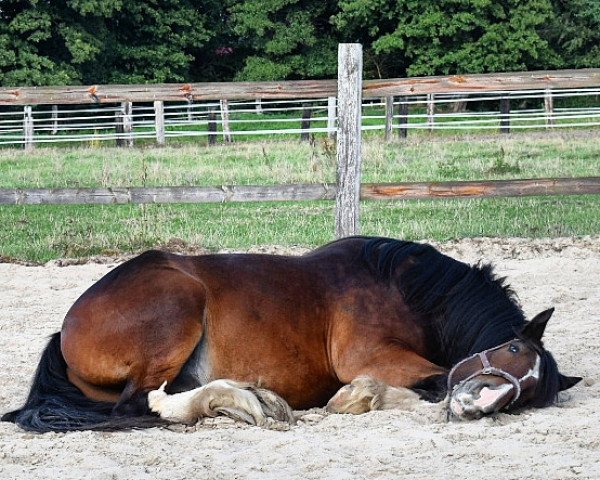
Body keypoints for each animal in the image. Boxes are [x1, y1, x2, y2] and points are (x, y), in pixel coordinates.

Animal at [1, 236, 580, 432]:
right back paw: (246, 404)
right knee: (141, 405)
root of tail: (68, 326)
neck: (404, 288)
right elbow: (432, 382)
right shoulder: (370, 355)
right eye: (512, 347)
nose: (480, 404)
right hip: (176, 309)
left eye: (528, 396)